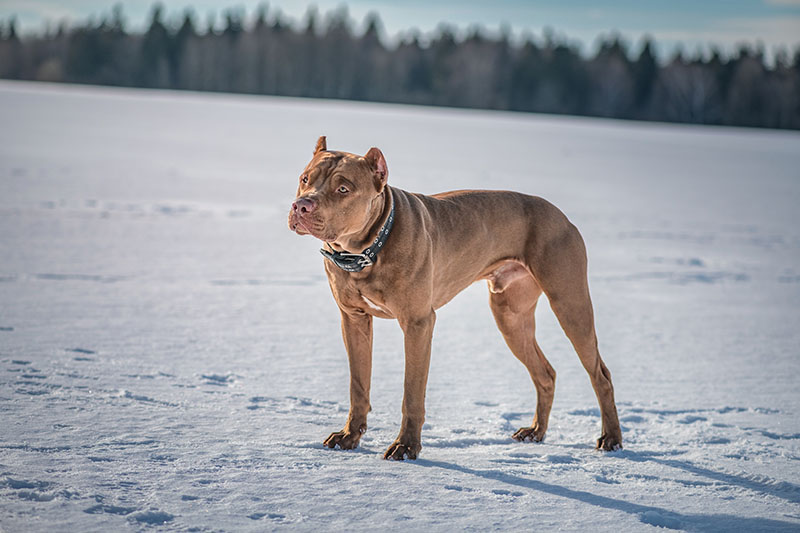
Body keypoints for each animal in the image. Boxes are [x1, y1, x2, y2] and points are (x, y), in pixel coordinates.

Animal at [290, 136, 624, 458]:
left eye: (343, 188)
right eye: (305, 178)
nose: (301, 206)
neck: (366, 250)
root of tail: (562, 215)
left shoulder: (418, 324)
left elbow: (412, 391)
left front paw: (407, 446)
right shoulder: (353, 319)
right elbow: (358, 384)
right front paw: (349, 436)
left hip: (570, 303)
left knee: (600, 374)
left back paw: (612, 439)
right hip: (510, 317)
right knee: (545, 374)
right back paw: (536, 432)